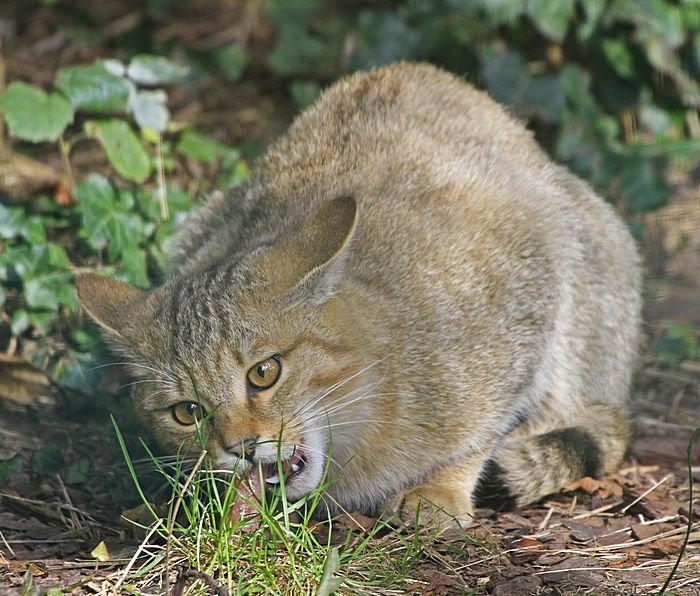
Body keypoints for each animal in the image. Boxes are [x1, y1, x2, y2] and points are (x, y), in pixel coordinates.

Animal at [76, 62, 640, 528]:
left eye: (265, 372)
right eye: (186, 413)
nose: (240, 447)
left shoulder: (530, 278)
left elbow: (483, 427)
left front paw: (440, 486)